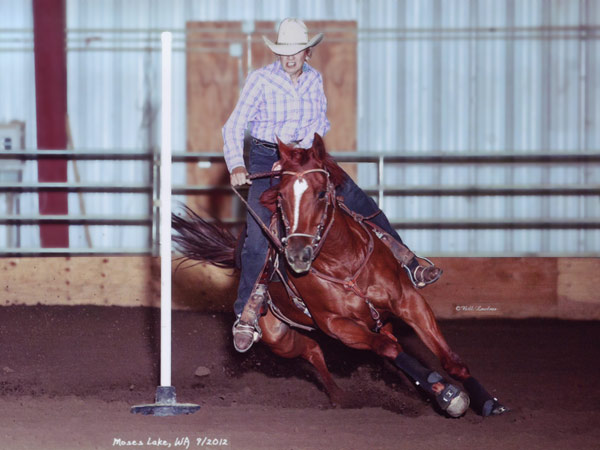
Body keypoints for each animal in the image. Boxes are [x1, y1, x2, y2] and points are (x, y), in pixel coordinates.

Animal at [173, 134, 506, 418]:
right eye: (280, 197)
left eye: (322, 193)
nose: (297, 254)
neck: (344, 263)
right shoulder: (337, 326)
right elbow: (388, 349)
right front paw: (449, 394)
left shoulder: (409, 302)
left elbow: (450, 361)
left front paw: (486, 401)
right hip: (279, 338)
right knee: (314, 351)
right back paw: (341, 397)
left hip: (378, 320)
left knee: (383, 346)